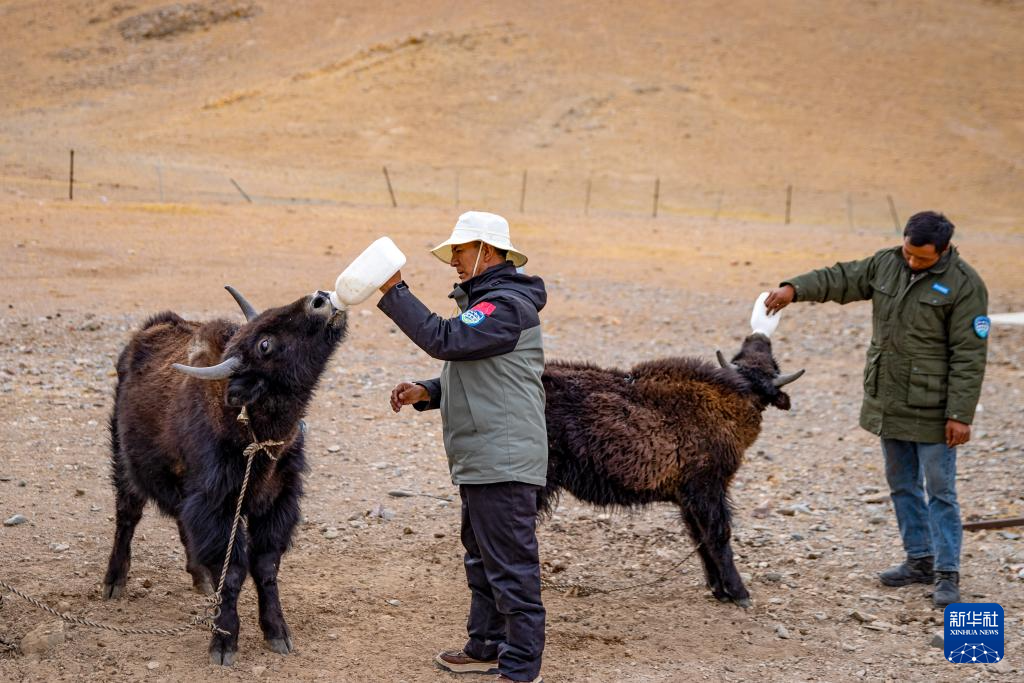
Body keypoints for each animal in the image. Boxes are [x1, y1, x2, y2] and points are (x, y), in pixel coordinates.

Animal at [102, 286, 346, 665]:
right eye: (264, 344)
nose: (320, 299)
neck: (251, 426)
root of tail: (151, 330)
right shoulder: (216, 507)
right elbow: (232, 572)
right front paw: (224, 642)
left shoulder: (277, 504)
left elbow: (266, 568)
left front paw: (278, 633)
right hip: (125, 464)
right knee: (127, 516)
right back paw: (114, 581)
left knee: (180, 522)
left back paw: (200, 579)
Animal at [539, 333, 803, 607]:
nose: (758, 335)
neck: (725, 402)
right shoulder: (707, 489)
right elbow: (718, 535)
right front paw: (739, 593)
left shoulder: (686, 498)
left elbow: (700, 538)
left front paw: (719, 590)